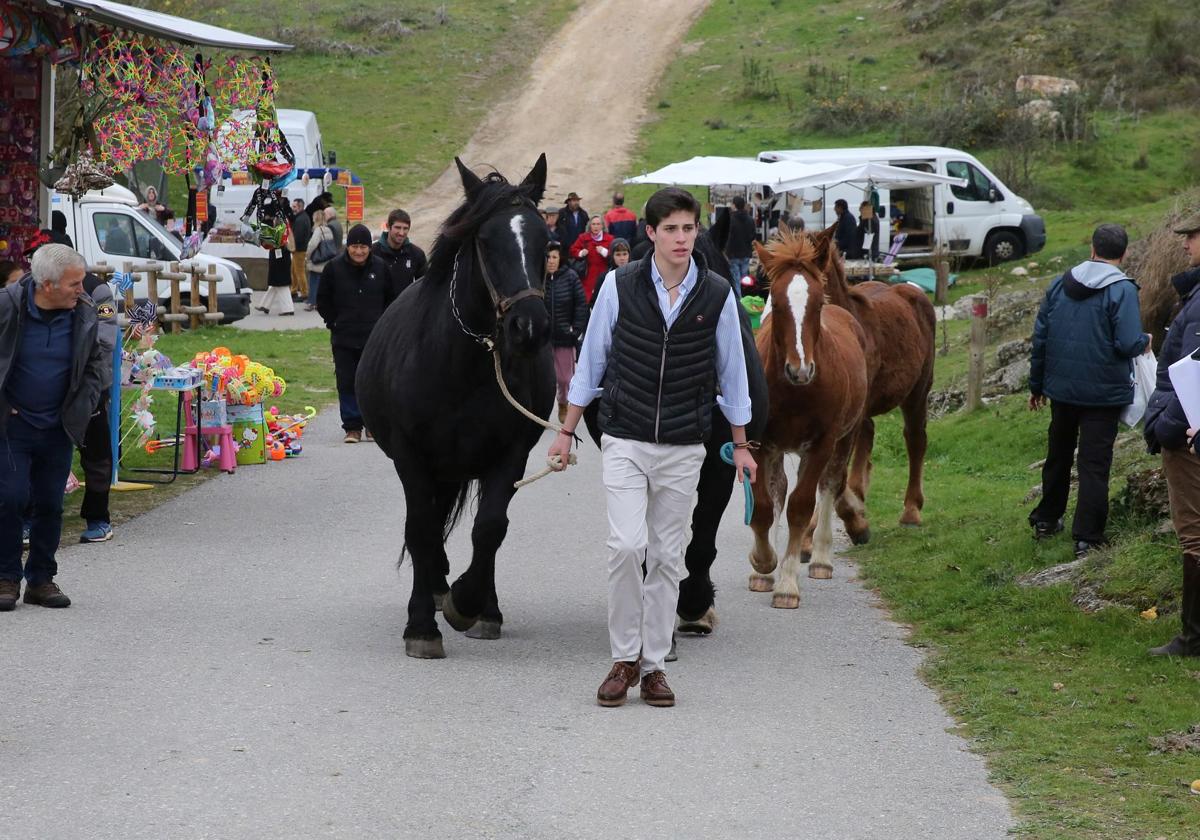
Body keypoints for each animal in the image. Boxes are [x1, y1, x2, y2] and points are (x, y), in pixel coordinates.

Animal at [352, 156, 554, 657]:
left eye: (546, 241)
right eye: (485, 241)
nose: (529, 328)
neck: (463, 365)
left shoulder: (509, 456)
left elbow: (490, 528)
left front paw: (469, 603)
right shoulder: (411, 458)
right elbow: (422, 531)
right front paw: (422, 625)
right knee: (427, 528)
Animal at [744, 232, 868, 607]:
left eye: (816, 306)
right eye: (776, 305)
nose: (800, 370)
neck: (794, 391)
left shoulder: (822, 444)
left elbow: (801, 506)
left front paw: (787, 584)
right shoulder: (759, 442)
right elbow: (764, 505)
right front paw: (763, 563)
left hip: (845, 437)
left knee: (830, 484)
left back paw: (821, 560)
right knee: (779, 489)